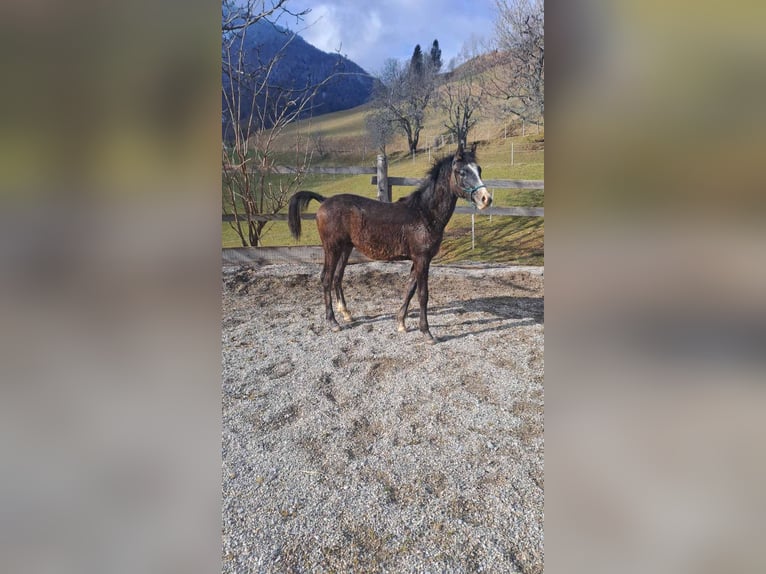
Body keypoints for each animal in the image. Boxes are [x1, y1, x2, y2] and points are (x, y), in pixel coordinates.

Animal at [287, 142, 492, 343]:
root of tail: (324, 200)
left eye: (479, 169)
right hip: (332, 248)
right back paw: (333, 322)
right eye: (462, 172)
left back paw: (346, 314)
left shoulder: (417, 260)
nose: (486, 199)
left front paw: (401, 323)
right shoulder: (422, 259)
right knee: (326, 278)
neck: (424, 214)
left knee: (338, 277)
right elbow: (423, 294)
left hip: (345, 248)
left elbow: (410, 288)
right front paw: (426, 332)